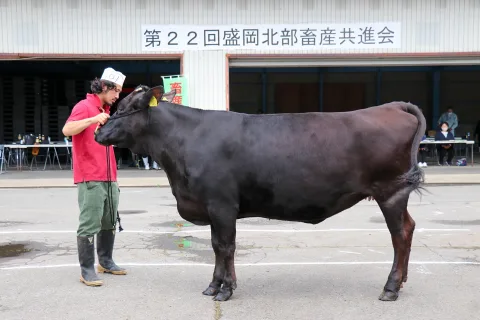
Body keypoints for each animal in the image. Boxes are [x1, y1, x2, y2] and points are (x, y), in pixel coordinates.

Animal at [94, 84, 428, 302]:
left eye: (127, 109)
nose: (98, 132)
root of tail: (393, 105)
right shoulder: (213, 207)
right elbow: (216, 247)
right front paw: (213, 286)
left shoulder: (222, 204)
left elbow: (225, 246)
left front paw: (225, 289)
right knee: (409, 228)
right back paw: (401, 281)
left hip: (390, 192)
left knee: (399, 234)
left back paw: (390, 287)